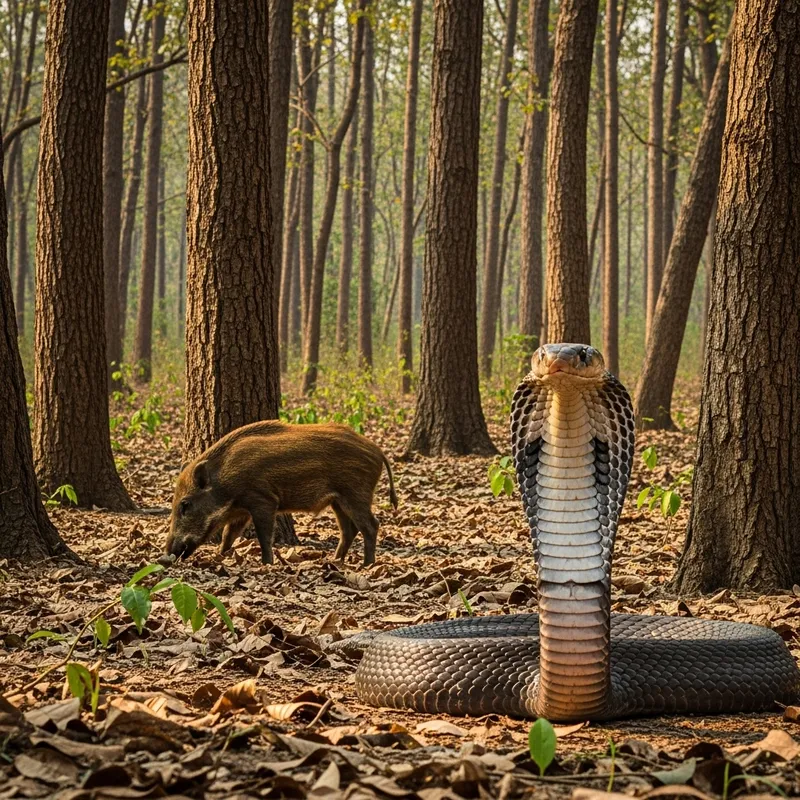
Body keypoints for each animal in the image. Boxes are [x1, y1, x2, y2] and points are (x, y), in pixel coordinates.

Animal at [165, 420, 398, 566]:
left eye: (185, 504)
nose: (165, 555)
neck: (225, 481)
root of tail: (378, 451)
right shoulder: (241, 511)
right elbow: (228, 535)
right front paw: (220, 556)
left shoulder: (263, 500)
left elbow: (264, 535)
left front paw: (267, 563)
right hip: (338, 501)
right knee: (349, 530)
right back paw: (335, 561)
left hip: (356, 494)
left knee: (371, 525)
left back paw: (367, 565)